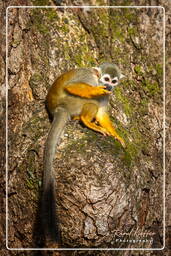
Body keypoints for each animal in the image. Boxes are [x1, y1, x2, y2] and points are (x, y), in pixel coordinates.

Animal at [41, 63, 125, 243]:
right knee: (87, 99)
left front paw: (116, 135)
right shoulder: (90, 79)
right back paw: (86, 120)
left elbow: (102, 113)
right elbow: (71, 86)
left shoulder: (108, 95)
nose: (109, 86)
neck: (97, 79)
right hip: (71, 102)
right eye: (106, 79)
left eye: (114, 81)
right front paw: (95, 91)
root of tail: (58, 109)